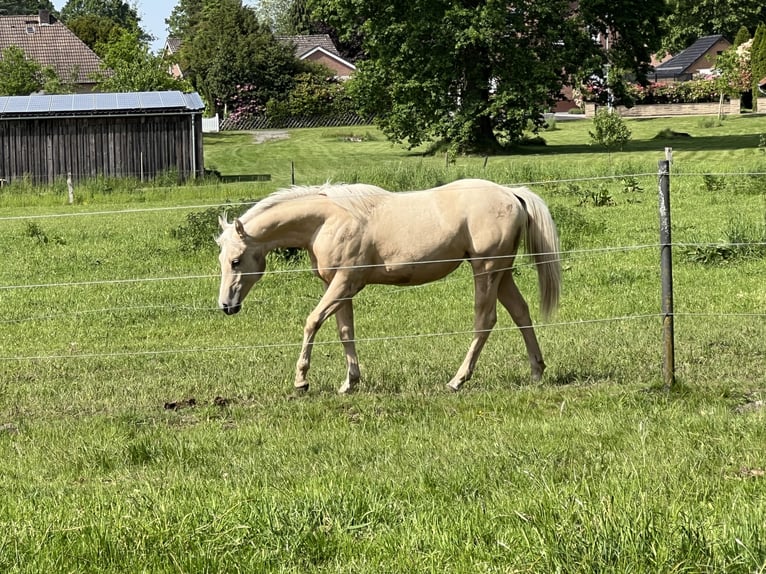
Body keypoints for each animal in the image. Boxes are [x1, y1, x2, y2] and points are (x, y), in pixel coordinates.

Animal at [216, 178, 561, 394]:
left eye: (236, 261)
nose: (226, 306)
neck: (329, 220)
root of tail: (511, 194)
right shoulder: (341, 287)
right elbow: (345, 331)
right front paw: (349, 383)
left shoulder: (344, 283)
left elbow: (313, 321)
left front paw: (301, 381)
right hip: (502, 272)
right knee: (521, 313)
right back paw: (536, 371)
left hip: (486, 270)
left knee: (485, 321)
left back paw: (457, 380)